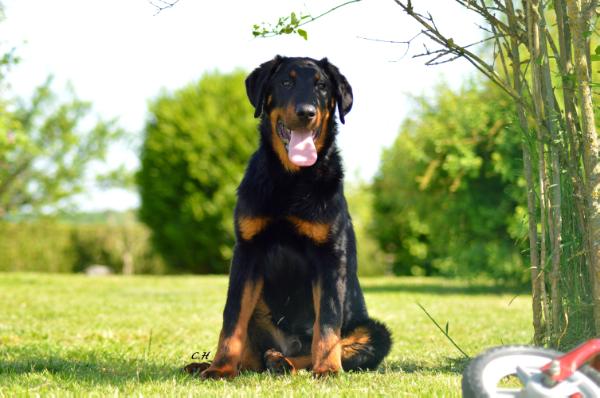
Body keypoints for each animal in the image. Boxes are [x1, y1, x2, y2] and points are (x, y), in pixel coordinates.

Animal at [188, 56, 394, 380]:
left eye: (322, 86)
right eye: (286, 82)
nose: (306, 112)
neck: (291, 180)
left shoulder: (330, 255)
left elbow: (328, 324)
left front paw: (328, 370)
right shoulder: (247, 251)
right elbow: (231, 319)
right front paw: (219, 369)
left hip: (376, 333)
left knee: (323, 347)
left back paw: (284, 362)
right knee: (252, 358)